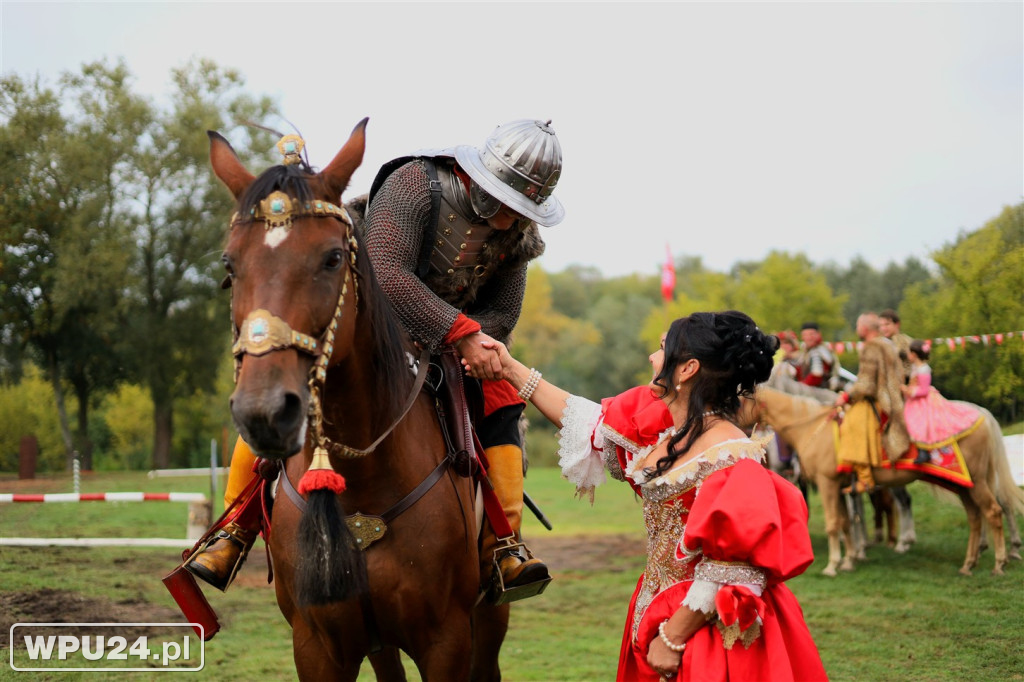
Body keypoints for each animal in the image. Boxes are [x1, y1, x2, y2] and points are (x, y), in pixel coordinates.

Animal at [210, 119, 507, 675]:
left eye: (331, 258)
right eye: (229, 265)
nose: (264, 411)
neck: (364, 483)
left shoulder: (448, 642)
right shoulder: (317, 643)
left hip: (486, 625)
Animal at [745, 387, 1024, 573]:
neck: (813, 428)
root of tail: (984, 416)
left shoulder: (828, 484)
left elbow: (834, 524)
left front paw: (833, 564)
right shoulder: (842, 487)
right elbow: (846, 523)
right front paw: (849, 560)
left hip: (977, 482)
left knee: (994, 511)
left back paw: (1000, 562)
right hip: (965, 484)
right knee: (976, 517)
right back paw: (969, 563)